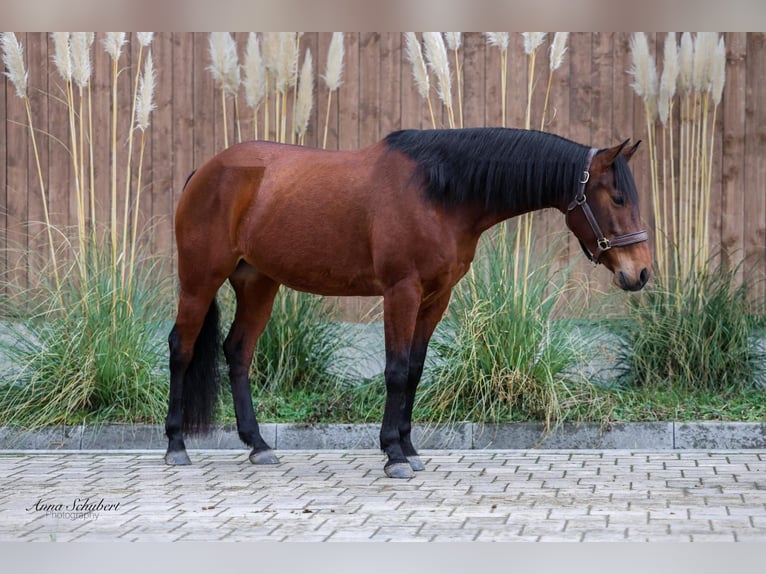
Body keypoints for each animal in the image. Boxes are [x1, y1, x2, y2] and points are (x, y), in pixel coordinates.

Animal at [165, 127, 651, 479]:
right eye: (617, 197)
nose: (641, 273)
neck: (438, 193)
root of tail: (206, 169)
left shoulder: (436, 297)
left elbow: (415, 371)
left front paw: (409, 447)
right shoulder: (402, 291)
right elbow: (396, 371)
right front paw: (393, 455)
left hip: (259, 283)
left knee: (238, 352)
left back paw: (259, 446)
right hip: (199, 281)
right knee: (181, 349)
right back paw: (176, 446)